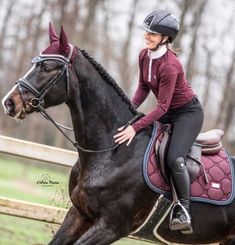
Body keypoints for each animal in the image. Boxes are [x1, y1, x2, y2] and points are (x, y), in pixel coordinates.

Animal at [1, 23, 235, 245]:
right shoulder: (79, 215)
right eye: (35, 63)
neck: (112, 151)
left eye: (48, 67)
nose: (9, 102)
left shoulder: (112, 227)